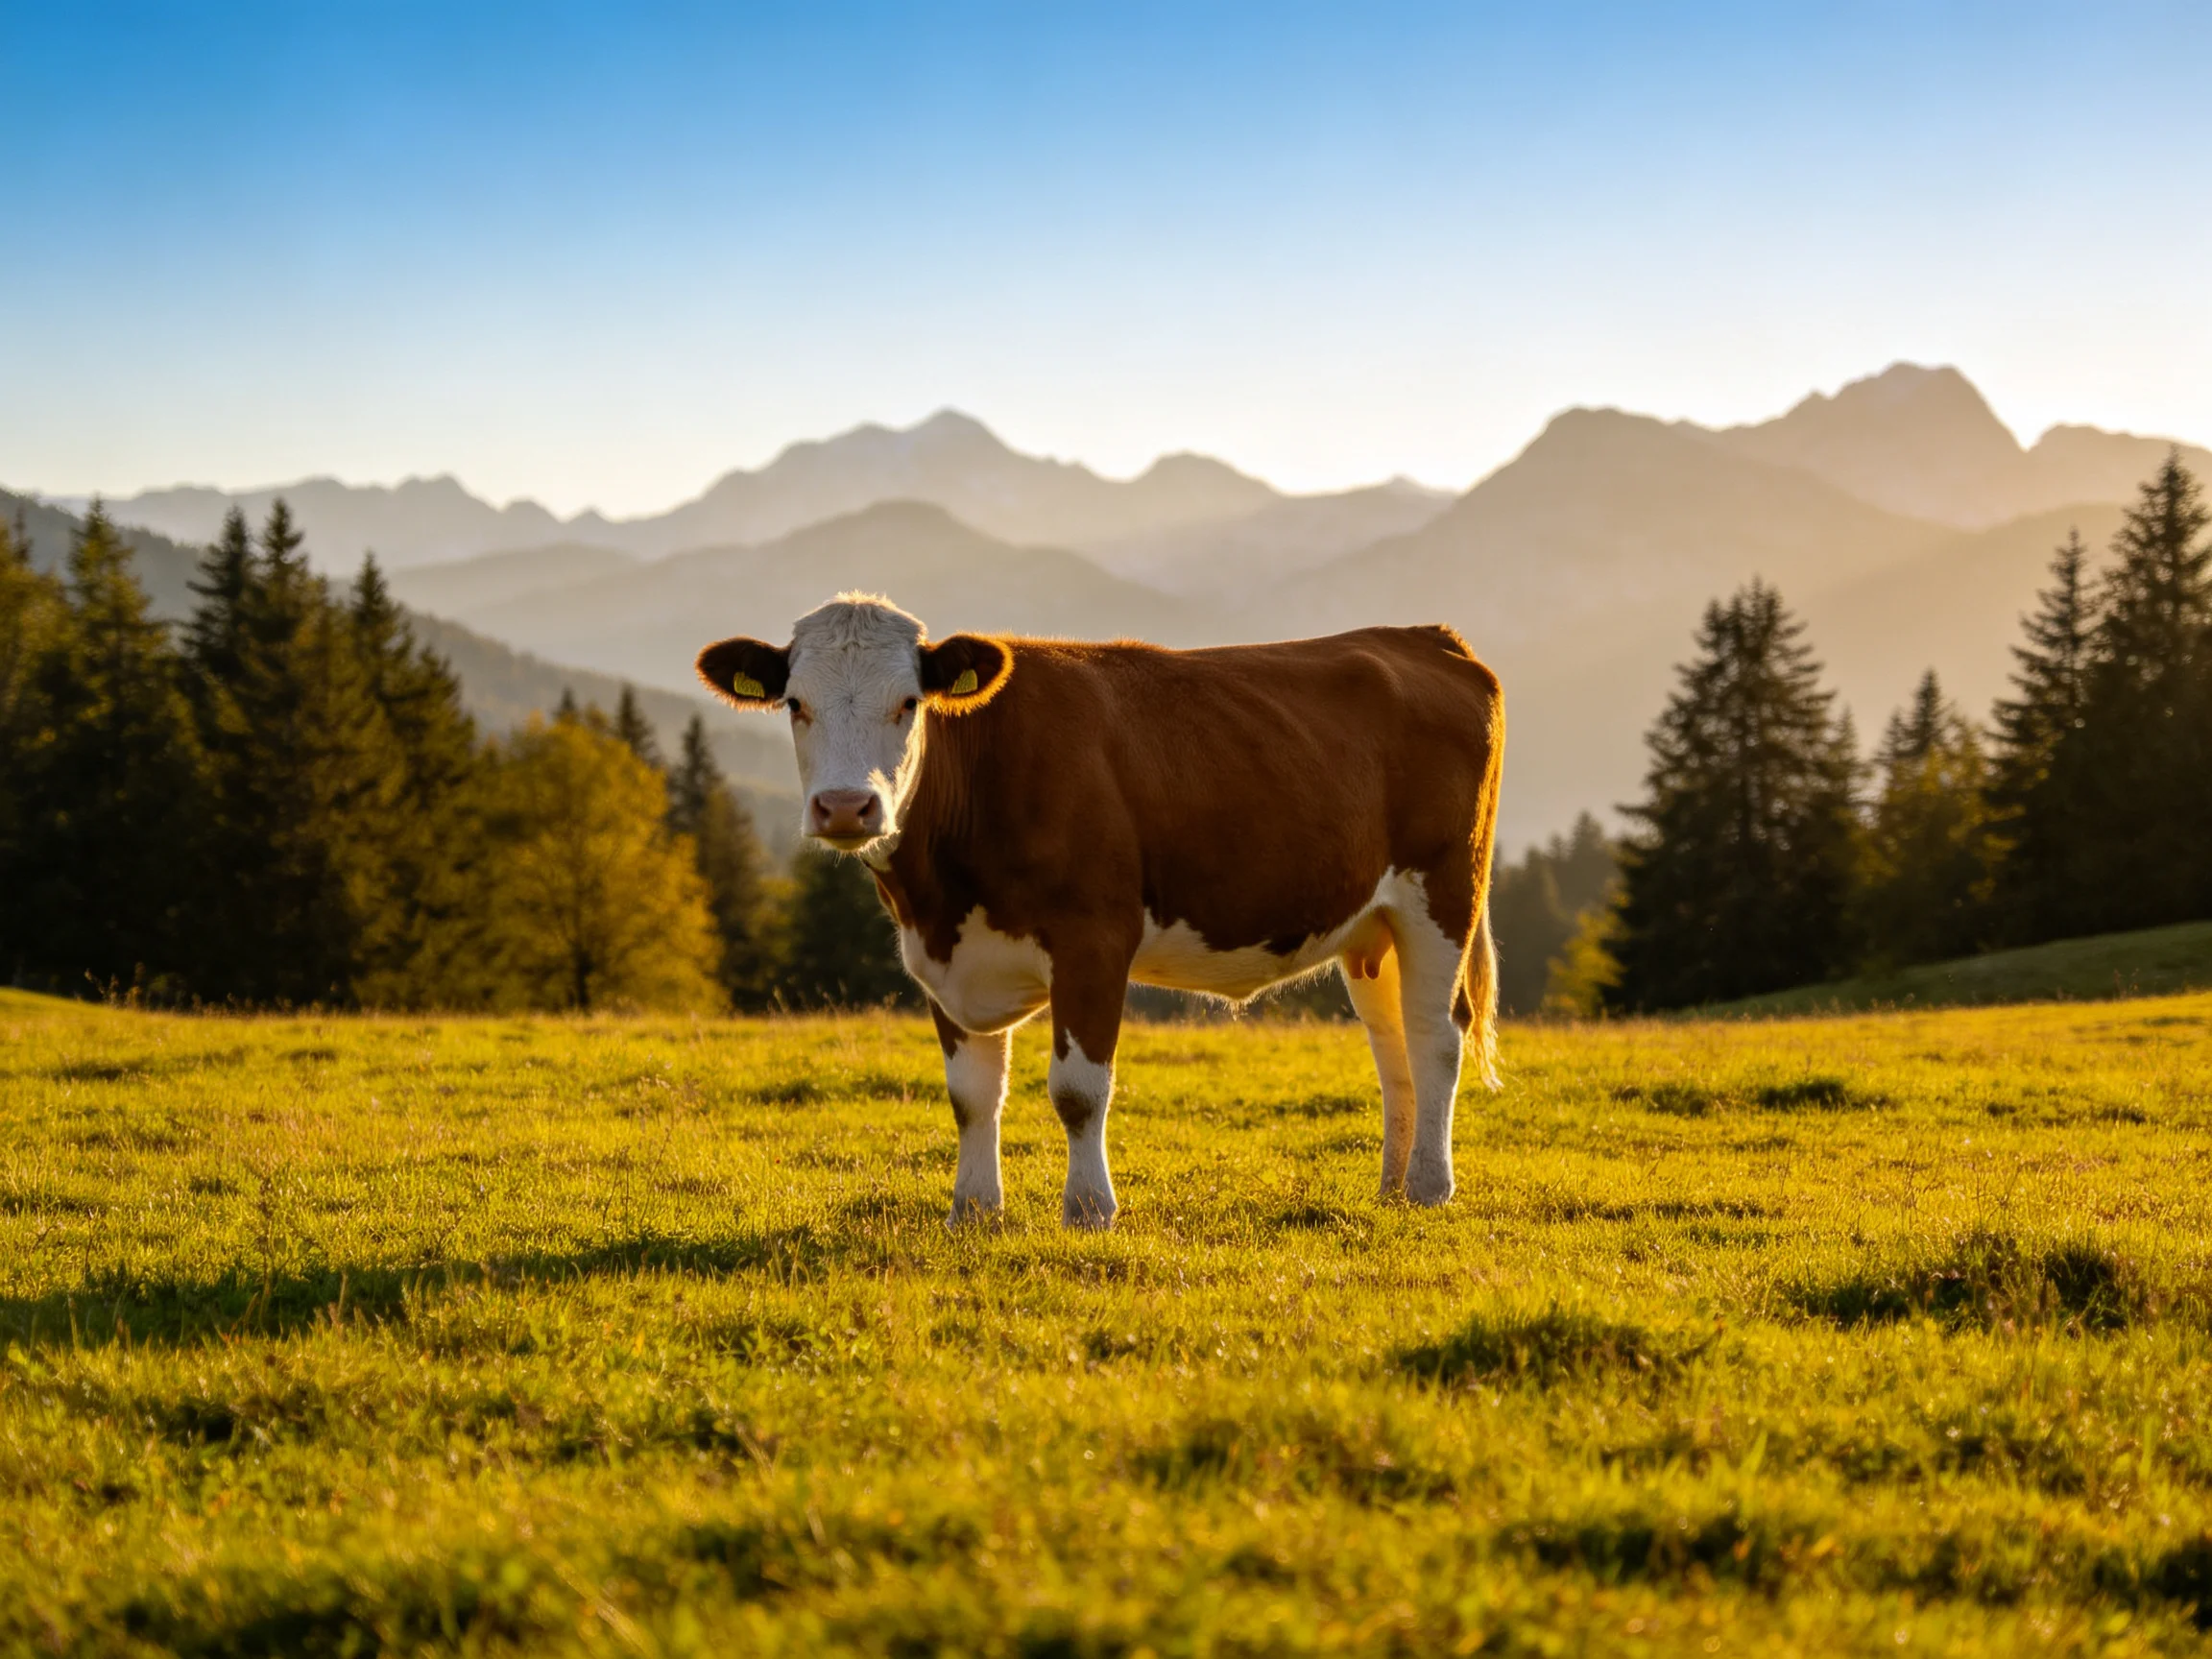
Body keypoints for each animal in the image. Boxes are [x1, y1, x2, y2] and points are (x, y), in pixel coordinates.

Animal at [697, 593, 1505, 1230]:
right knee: (1392, 1045)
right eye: (795, 704)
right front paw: (973, 1211)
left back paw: (1430, 1187)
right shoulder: (944, 958)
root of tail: (1422, 635)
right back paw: (1392, 1186)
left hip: (1443, 894)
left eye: (908, 704)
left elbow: (1079, 1091)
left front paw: (1088, 1210)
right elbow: (971, 1097)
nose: (844, 807)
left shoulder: (1094, 940)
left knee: (1436, 1037)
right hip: (1373, 926)